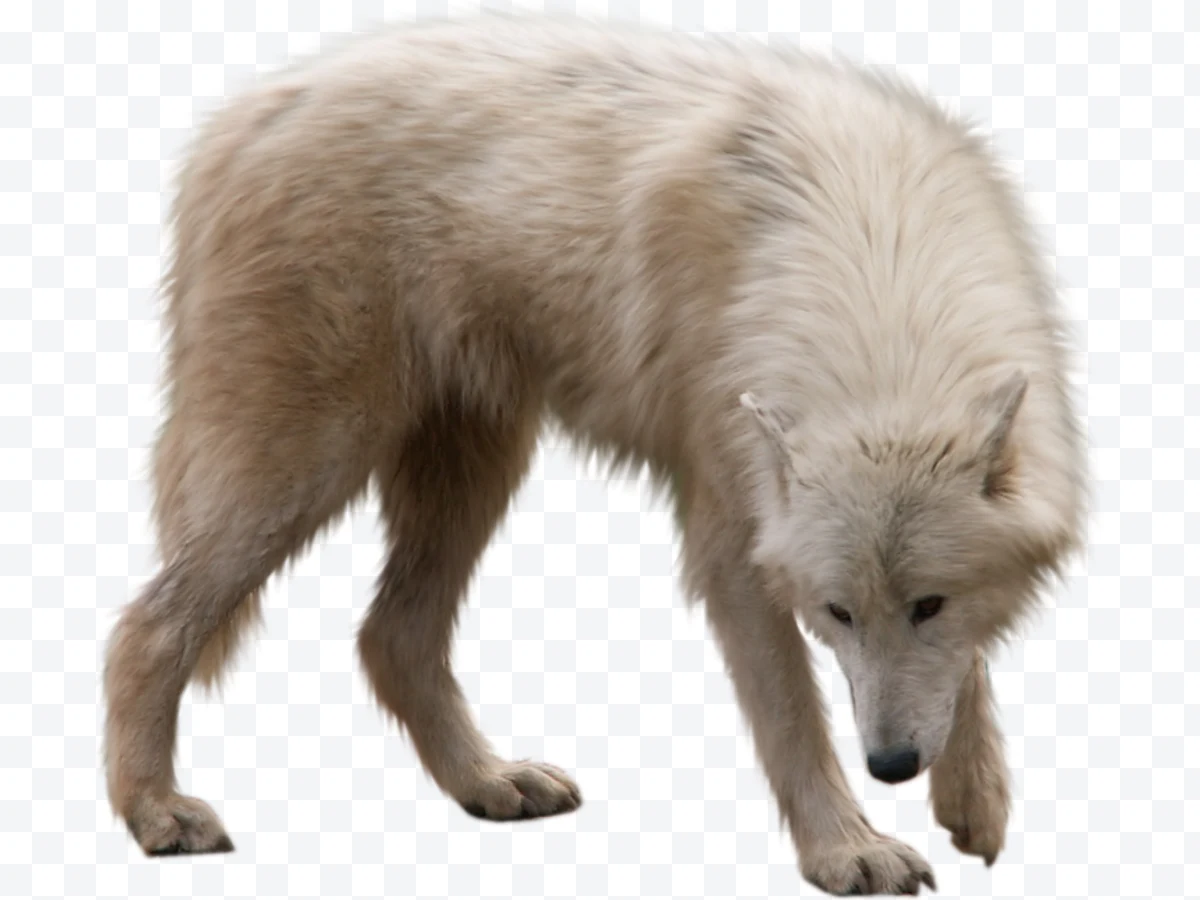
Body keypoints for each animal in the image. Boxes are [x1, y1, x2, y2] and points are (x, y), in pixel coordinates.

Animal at [103, 15, 1085, 895]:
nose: (891, 765)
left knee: (391, 636)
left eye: (928, 604)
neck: (876, 257)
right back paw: (156, 813)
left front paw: (974, 801)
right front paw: (850, 851)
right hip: (309, 459)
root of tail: (239, 114)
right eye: (836, 614)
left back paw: (489, 783)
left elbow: (966, 667)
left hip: (478, 463)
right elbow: (793, 719)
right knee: (147, 626)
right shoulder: (731, 543)